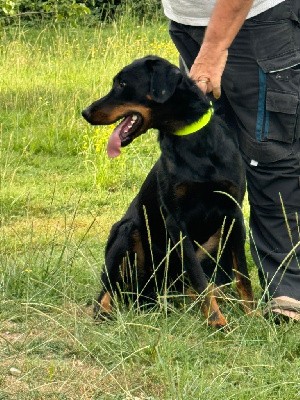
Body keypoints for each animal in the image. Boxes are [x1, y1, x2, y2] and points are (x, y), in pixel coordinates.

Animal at [81, 54, 253, 326]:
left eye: (122, 84)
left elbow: (242, 276)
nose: (85, 112)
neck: (193, 142)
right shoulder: (176, 221)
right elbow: (199, 278)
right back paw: (105, 311)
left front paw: (253, 315)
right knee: (108, 289)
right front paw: (217, 322)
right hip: (126, 230)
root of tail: (149, 295)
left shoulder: (233, 214)